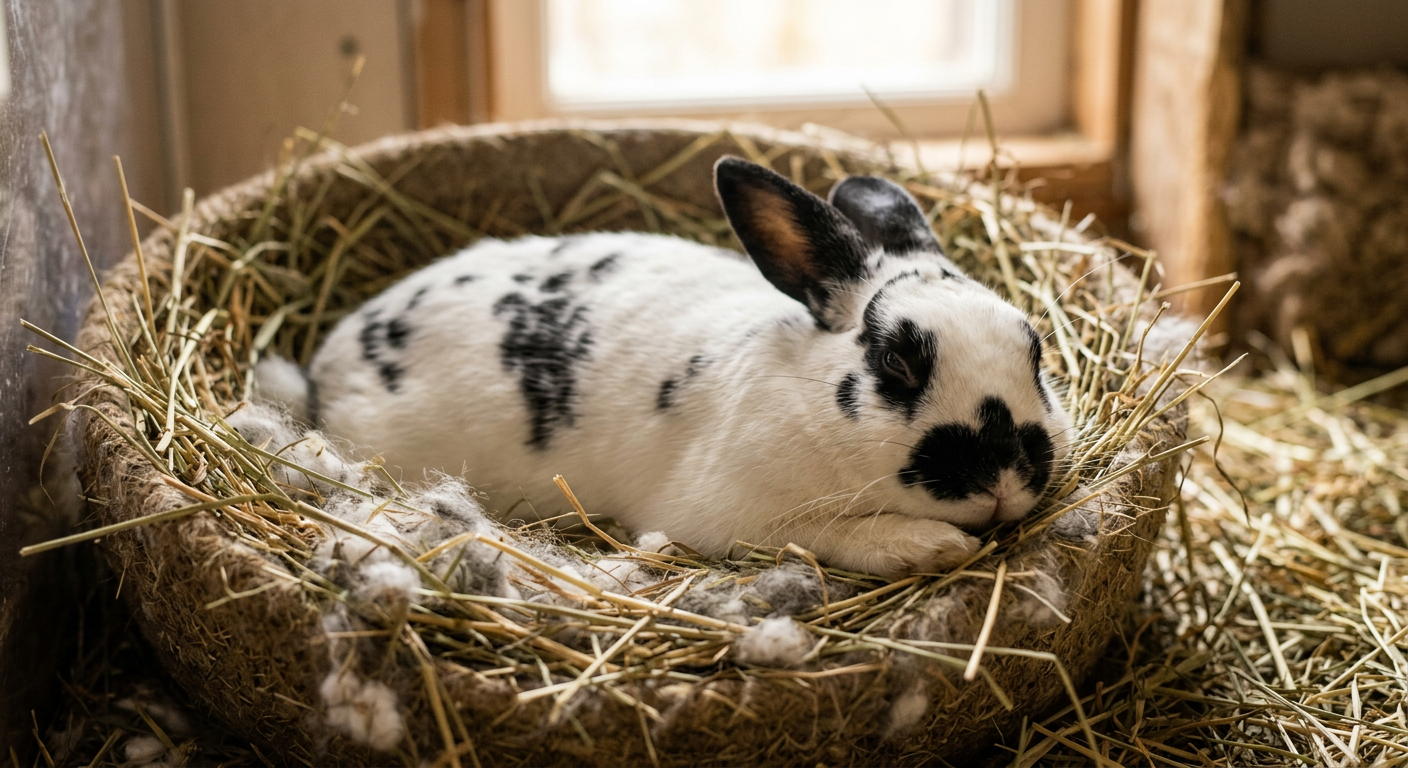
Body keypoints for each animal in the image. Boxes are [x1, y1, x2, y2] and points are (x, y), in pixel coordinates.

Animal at [258, 157, 1074, 580]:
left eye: (1035, 350)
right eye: (896, 359)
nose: (1003, 479)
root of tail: (330, 364)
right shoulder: (734, 518)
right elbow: (831, 533)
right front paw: (932, 546)